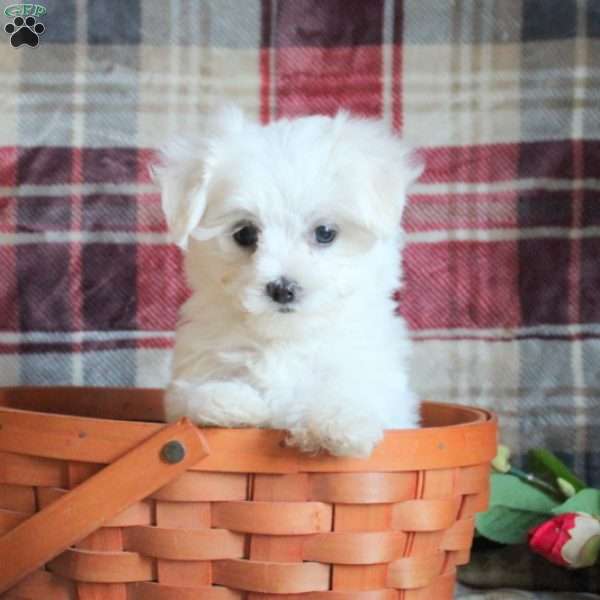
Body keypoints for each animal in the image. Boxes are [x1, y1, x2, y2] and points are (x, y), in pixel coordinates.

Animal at [157, 108, 424, 458]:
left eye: (325, 232)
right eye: (245, 234)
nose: (282, 289)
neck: (287, 339)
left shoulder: (375, 377)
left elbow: (354, 391)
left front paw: (340, 422)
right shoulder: (193, 369)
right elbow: (192, 395)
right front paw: (231, 402)